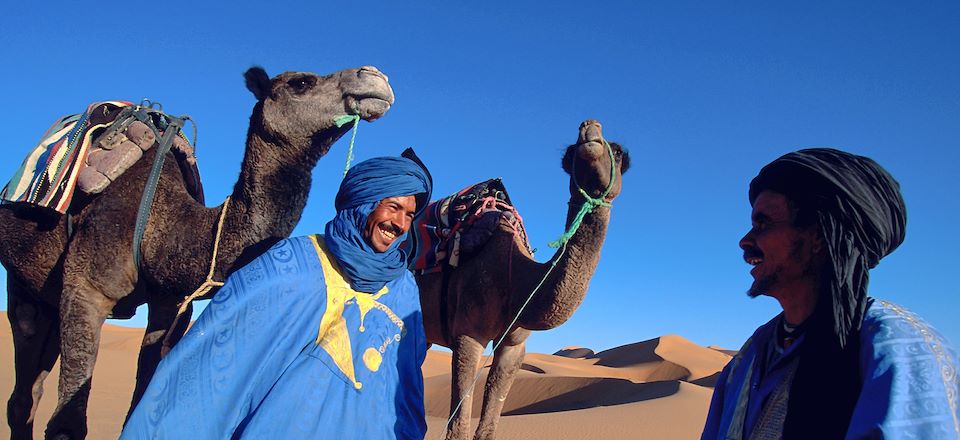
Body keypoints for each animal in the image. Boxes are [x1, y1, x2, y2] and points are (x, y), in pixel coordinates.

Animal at [0, 63, 394, 438]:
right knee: (23, 391)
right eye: (300, 83)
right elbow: (67, 424)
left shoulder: (171, 303)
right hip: (24, 286)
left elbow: (141, 404)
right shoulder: (87, 290)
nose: (376, 77)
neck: (167, 227)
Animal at [418, 118, 632, 438]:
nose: (590, 129)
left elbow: (489, 425)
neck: (517, 280)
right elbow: (459, 427)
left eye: (618, 153)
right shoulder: (468, 334)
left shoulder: (514, 346)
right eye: (570, 153)